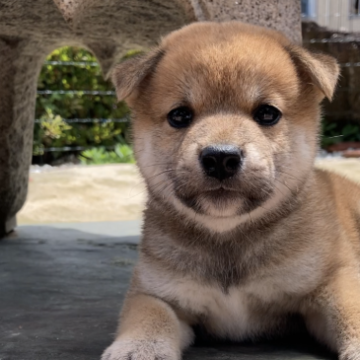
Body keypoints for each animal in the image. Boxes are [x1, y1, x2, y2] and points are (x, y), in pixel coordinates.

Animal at [101, 21, 360, 360]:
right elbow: (149, 318)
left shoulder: (331, 279)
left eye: (267, 113)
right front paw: (138, 349)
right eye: (179, 116)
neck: (227, 244)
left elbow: (351, 310)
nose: (220, 158)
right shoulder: (156, 292)